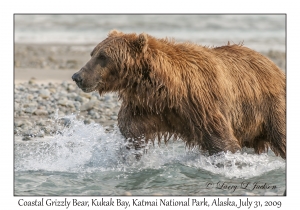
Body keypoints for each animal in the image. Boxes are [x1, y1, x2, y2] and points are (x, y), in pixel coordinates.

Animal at [72, 30, 286, 159]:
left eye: (103, 57)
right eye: (93, 53)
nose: (77, 76)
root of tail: (274, 66)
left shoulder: (200, 102)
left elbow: (220, 139)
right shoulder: (146, 107)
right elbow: (131, 130)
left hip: (268, 106)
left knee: (281, 134)